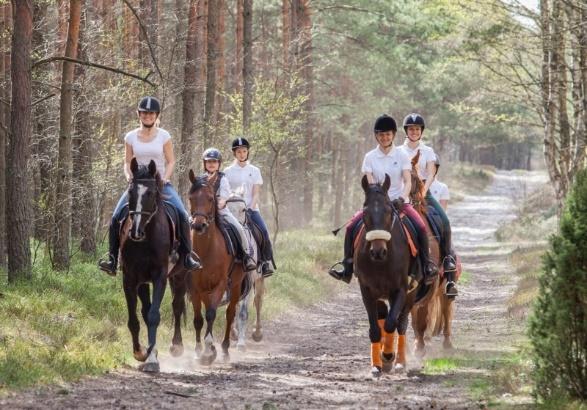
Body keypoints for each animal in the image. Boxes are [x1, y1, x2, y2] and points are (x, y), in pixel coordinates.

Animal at [116, 158, 177, 372]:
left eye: (150, 193)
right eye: (130, 192)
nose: (135, 232)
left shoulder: (160, 276)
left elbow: (153, 316)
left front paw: (151, 360)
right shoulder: (130, 278)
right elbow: (134, 320)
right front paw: (141, 352)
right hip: (143, 281)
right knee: (144, 310)